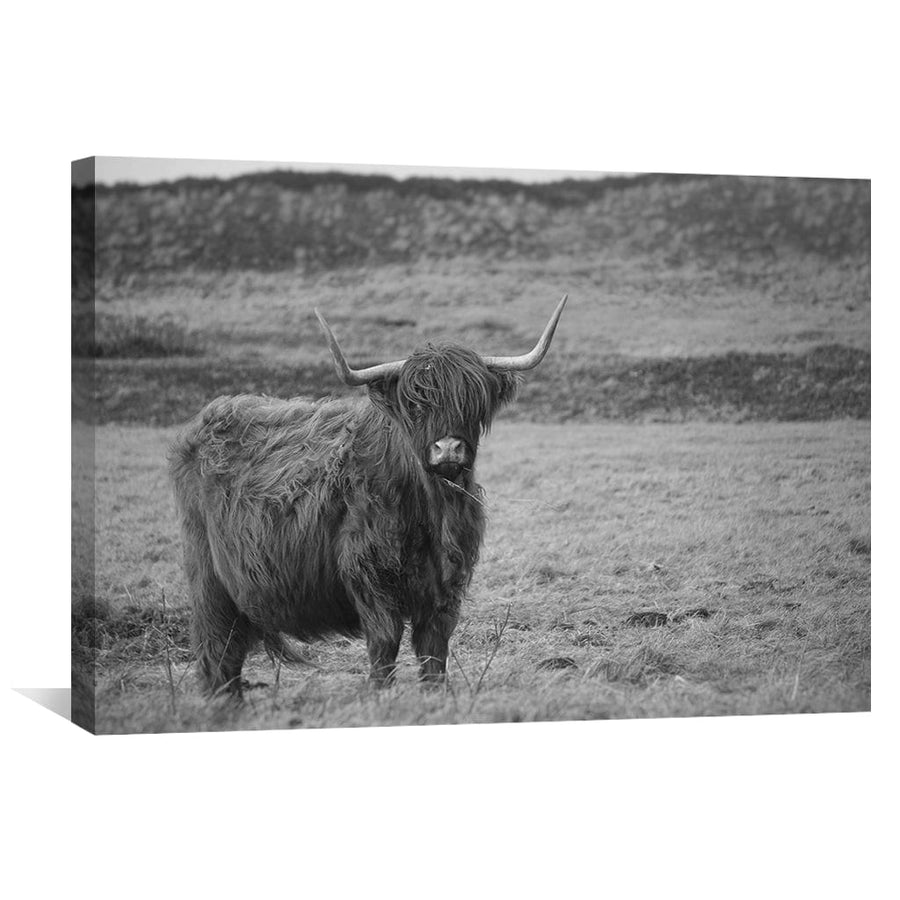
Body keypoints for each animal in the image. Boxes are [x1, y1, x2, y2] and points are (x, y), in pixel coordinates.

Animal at [168, 295, 567, 697]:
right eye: (416, 404)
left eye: (473, 402)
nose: (448, 449)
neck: (432, 511)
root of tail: (208, 417)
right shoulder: (369, 575)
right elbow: (384, 641)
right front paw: (380, 693)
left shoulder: (446, 587)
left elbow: (434, 649)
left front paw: (434, 694)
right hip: (209, 579)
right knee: (217, 650)